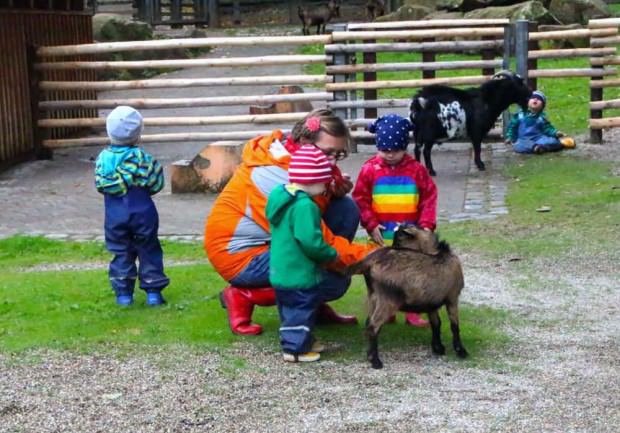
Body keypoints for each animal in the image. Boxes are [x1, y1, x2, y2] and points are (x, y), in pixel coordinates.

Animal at [346, 224, 468, 370]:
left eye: (399, 240)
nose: (392, 246)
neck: (438, 253)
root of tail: (370, 261)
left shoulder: (431, 302)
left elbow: (436, 324)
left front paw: (438, 348)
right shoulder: (453, 297)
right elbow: (454, 325)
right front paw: (461, 351)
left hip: (373, 296)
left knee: (368, 322)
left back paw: (370, 356)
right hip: (388, 300)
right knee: (373, 326)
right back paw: (375, 361)